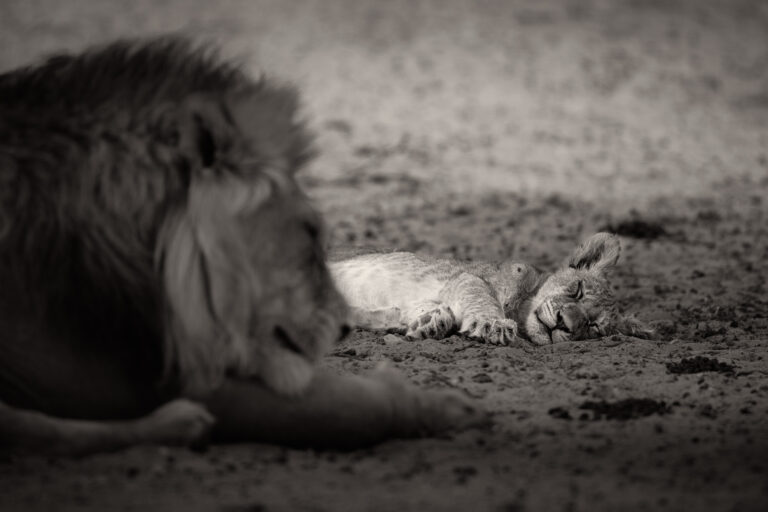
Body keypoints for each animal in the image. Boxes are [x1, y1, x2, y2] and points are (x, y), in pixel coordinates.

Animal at [331, 233, 653, 345]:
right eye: (577, 291)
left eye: (593, 327)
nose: (566, 323)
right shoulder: (467, 276)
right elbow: (481, 296)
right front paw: (492, 325)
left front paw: (429, 323)